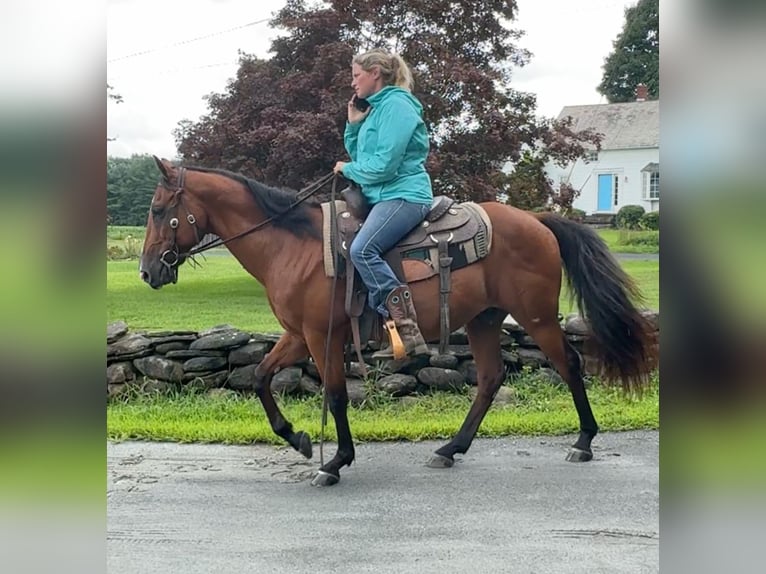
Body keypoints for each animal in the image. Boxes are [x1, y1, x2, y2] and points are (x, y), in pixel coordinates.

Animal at [141, 156, 656, 486]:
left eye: (158, 210)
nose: (148, 271)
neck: (294, 245)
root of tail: (538, 220)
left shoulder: (321, 336)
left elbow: (335, 394)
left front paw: (335, 462)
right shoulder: (296, 334)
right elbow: (262, 378)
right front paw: (300, 439)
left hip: (536, 316)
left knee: (569, 364)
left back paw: (584, 441)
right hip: (484, 320)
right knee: (490, 378)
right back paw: (450, 449)